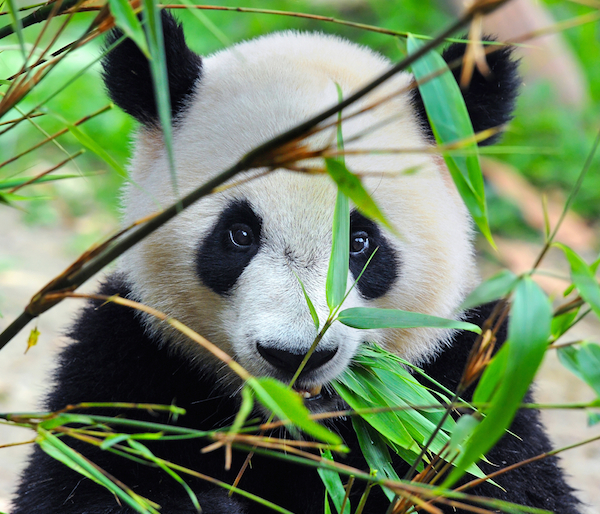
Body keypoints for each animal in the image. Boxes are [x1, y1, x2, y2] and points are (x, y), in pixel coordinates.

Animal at [10, 9, 580, 512]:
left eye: (360, 242)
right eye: (239, 235)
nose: (296, 355)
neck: (297, 426)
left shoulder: (470, 379)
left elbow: (510, 488)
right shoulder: (131, 354)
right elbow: (87, 480)